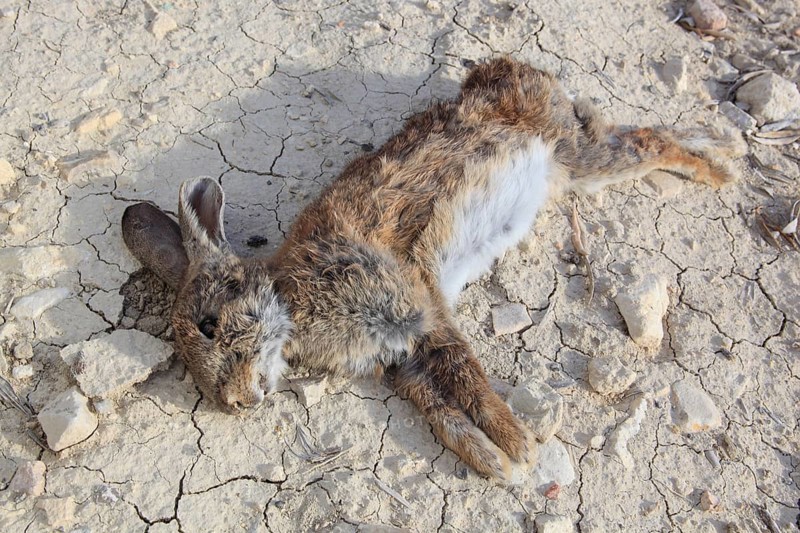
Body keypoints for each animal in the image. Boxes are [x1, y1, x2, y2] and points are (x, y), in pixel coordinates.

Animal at [122, 57, 746, 481]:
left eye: (209, 325)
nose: (233, 403)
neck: (290, 297)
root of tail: (510, 70)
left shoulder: (417, 303)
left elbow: (466, 376)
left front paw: (517, 445)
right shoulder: (402, 361)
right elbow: (441, 411)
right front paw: (494, 462)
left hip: (577, 158)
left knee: (650, 141)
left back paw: (723, 170)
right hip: (578, 165)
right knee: (636, 131)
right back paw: (725, 147)